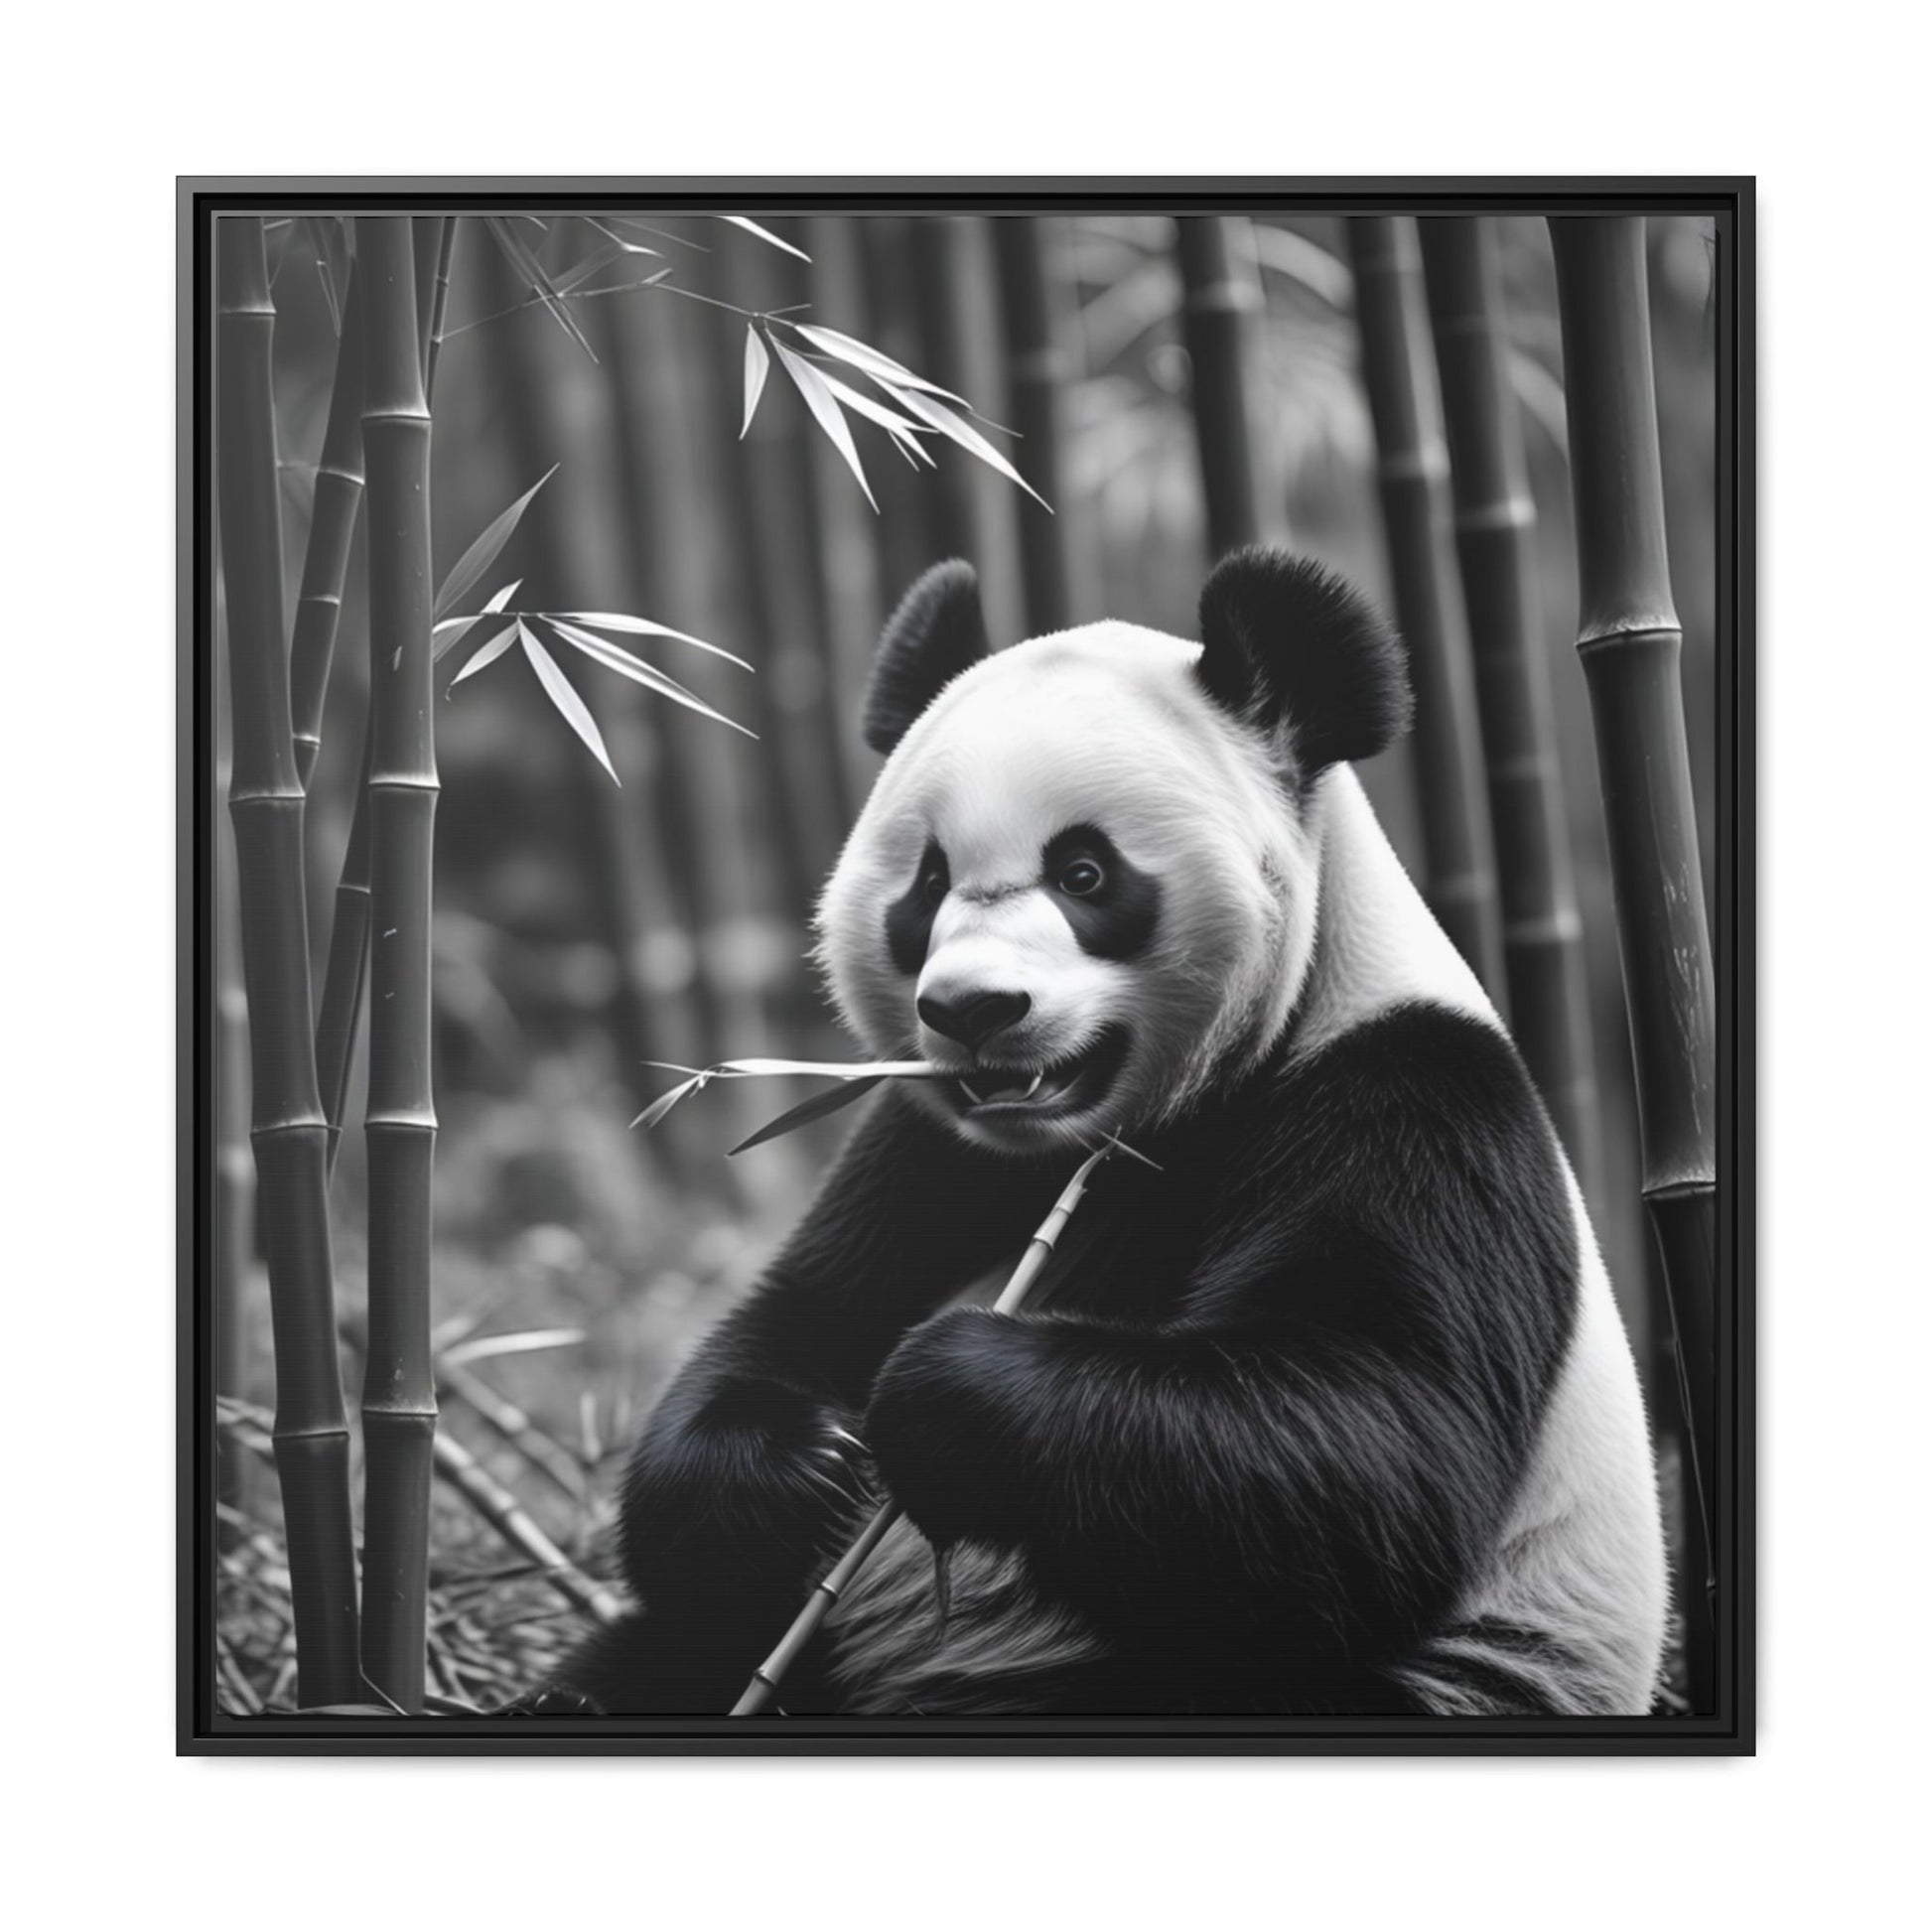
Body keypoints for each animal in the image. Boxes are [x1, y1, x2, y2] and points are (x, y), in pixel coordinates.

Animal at [531, 548, 1668, 1718]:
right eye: (928, 883)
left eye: (1084, 873)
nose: (974, 1009)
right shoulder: (929, 1146)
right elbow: (789, 1328)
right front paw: (804, 1466)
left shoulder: (1411, 1098)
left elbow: (1368, 1444)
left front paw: (940, 1390)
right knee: (662, 1651)